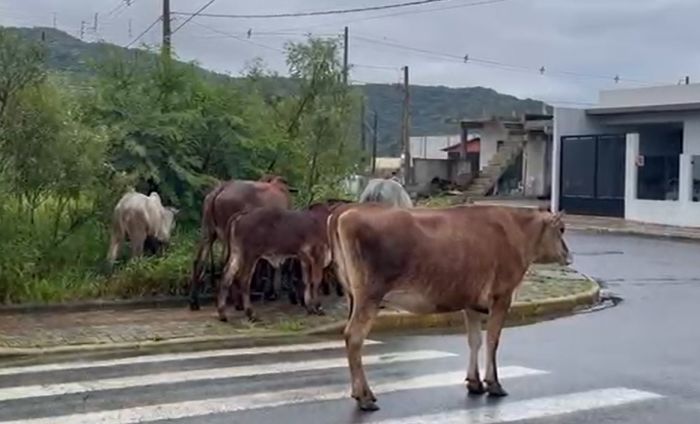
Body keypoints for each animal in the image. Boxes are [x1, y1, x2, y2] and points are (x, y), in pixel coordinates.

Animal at [187, 176, 292, 312]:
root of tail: (222, 188)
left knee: (199, 261)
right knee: (227, 263)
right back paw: (237, 303)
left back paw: (194, 302)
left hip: (208, 231)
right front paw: (271, 292)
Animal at [326, 205, 568, 410]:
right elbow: (492, 340)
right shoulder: (502, 297)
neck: (516, 231)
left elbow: (475, 340)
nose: (568, 255)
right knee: (354, 337)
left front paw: (474, 383)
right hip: (369, 297)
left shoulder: (471, 303)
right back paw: (365, 398)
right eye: (562, 230)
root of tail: (345, 211)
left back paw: (361, 393)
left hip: (354, 297)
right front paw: (494, 384)